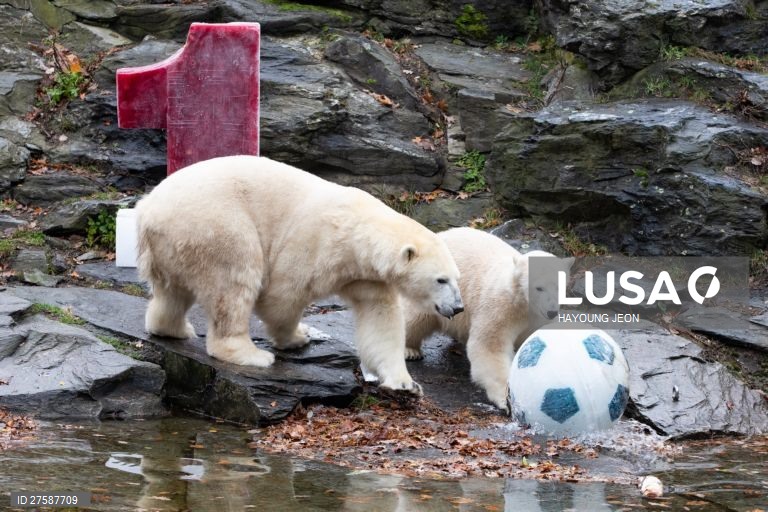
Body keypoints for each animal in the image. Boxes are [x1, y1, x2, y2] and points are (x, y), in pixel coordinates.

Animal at [135, 155, 464, 394]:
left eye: (457, 277)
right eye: (441, 280)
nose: (458, 307)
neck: (357, 231)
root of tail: (147, 210)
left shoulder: (365, 275)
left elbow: (380, 317)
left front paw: (405, 383)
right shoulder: (314, 243)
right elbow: (283, 296)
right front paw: (297, 337)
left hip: (172, 244)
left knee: (172, 291)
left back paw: (173, 328)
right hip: (214, 224)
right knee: (234, 280)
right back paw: (250, 353)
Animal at [402, 227, 573, 410]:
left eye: (560, 286)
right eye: (539, 288)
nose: (552, 311)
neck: (524, 303)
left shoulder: (538, 319)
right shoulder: (501, 308)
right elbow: (490, 346)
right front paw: (506, 399)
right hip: (434, 289)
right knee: (417, 317)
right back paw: (410, 350)